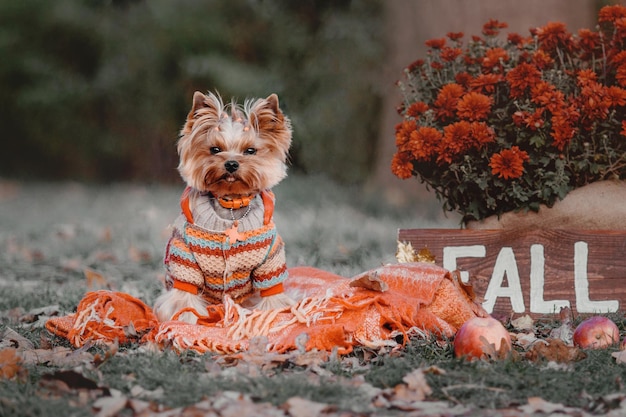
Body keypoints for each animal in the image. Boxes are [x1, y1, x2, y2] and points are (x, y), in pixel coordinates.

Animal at [155, 92, 294, 324]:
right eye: (215, 149)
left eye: (250, 151)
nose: (230, 164)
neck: (230, 204)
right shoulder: (185, 260)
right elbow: (184, 300)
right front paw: (186, 322)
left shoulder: (269, 262)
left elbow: (272, 296)